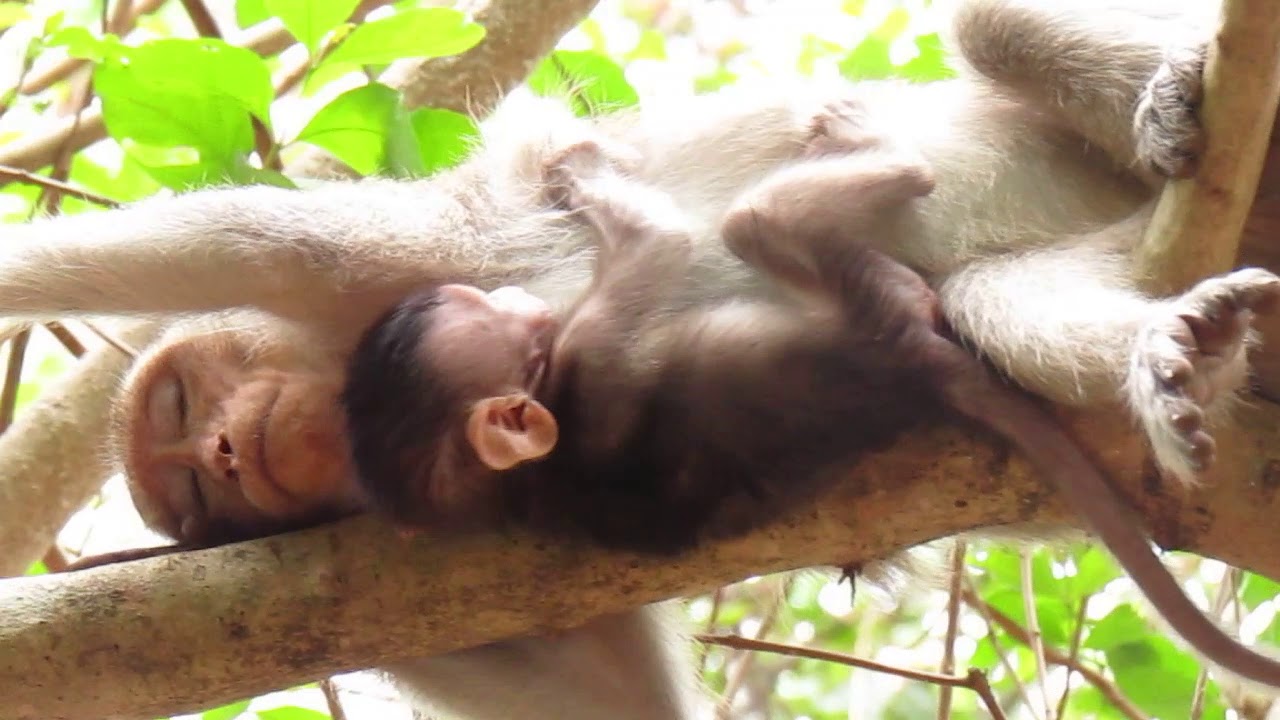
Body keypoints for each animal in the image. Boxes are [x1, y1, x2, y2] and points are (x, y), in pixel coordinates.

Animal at [3, 0, 1279, 714]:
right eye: (196, 502)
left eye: (181, 407)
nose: (222, 448)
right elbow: (623, 702)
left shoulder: (378, 264)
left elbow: (213, 244)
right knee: (988, 302)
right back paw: (1171, 351)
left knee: (984, 31)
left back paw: (1168, 103)